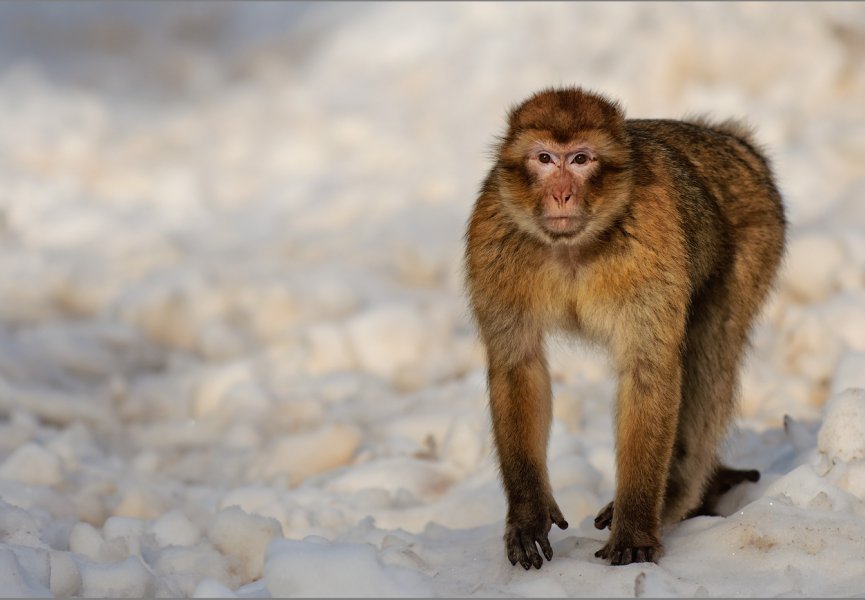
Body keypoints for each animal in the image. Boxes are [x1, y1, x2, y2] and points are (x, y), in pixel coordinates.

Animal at [462, 86, 788, 568]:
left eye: (581, 159)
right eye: (545, 158)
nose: (562, 193)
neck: (573, 249)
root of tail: (730, 142)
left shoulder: (652, 242)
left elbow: (648, 371)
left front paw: (634, 525)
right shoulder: (493, 240)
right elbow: (519, 366)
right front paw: (528, 513)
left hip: (757, 235)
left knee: (711, 350)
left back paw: (674, 495)